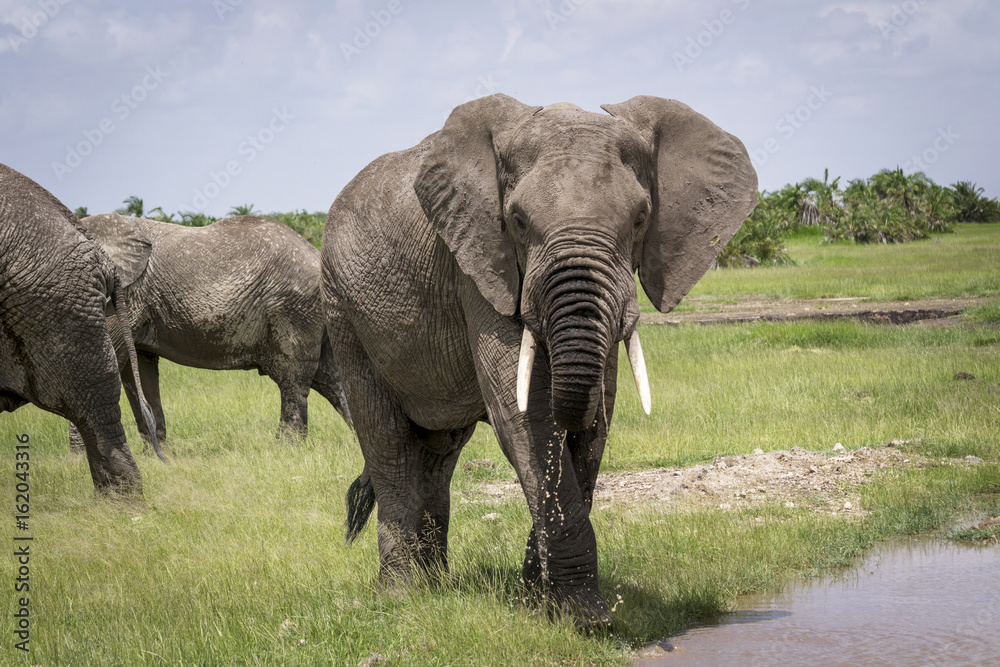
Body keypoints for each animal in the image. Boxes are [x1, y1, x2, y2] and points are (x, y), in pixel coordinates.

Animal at [75, 213, 349, 445]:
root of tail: (318, 255)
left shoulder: (125, 294)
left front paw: (76, 460)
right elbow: (140, 368)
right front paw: (157, 457)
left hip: (292, 308)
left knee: (293, 377)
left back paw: (285, 448)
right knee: (330, 377)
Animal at [321, 94, 757, 627]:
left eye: (640, 218)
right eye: (518, 221)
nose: (539, 593)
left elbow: (595, 415)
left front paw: (536, 602)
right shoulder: (480, 263)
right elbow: (524, 413)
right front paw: (586, 619)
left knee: (439, 450)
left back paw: (436, 586)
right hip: (342, 311)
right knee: (387, 440)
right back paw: (403, 596)